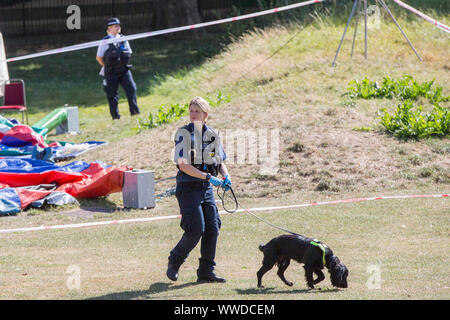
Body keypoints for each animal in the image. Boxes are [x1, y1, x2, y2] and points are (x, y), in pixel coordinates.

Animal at [168, 97, 232, 282]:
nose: (193, 114)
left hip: (209, 203)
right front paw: (214, 179)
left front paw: (226, 180)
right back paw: (172, 268)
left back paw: (207, 273)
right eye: (193, 110)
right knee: (196, 228)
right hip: (189, 203)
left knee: (212, 228)